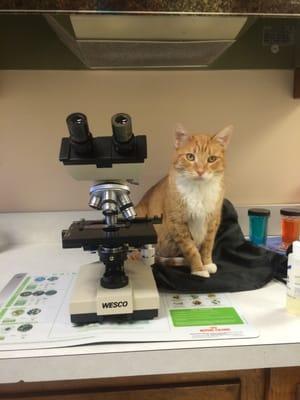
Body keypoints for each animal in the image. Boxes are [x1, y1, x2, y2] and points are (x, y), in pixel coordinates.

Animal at [135, 123, 233, 276]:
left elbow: (207, 245)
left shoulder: (213, 221)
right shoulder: (178, 223)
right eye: (190, 157)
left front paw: (207, 263)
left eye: (211, 159)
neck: (198, 190)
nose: (200, 171)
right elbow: (191, 249)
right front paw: (199, 269)